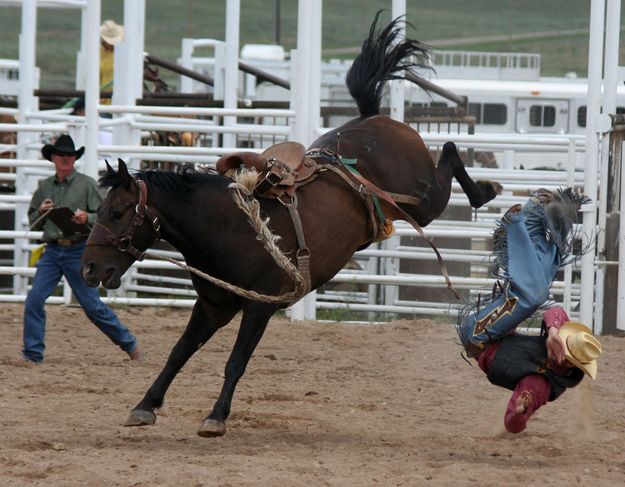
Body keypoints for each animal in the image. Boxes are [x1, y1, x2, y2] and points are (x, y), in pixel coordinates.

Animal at [81, 14, 502, 438]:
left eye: (118, 212)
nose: (88, 267)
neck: (228, 229)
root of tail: (372, 116)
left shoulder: (259, 307)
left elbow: (235, 361)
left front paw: (216, 417)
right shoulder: (213, 306)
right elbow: (178, 352)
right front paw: (145, 405)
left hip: (427, 200)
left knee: (449, 152)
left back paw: (487, 189)